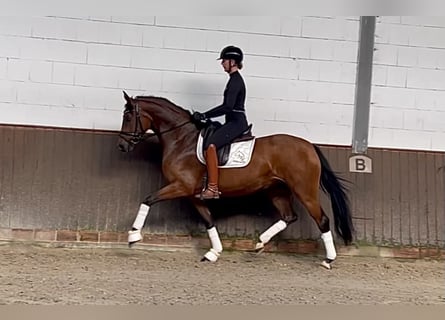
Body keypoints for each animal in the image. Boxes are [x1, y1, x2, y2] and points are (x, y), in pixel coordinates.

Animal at [116, 91, 352, 268]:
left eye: (128, 117)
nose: (122, 146)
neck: (182, 139)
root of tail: (309, 146)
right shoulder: (194, 194)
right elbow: (209, 220)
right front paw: (214, 253)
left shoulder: (180, 186)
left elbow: (148, 199)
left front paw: (133, 236)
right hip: (276, 190)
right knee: (288, 216)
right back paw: (260, 242)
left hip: (304, 191)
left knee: (322, 220)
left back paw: (328, 260)